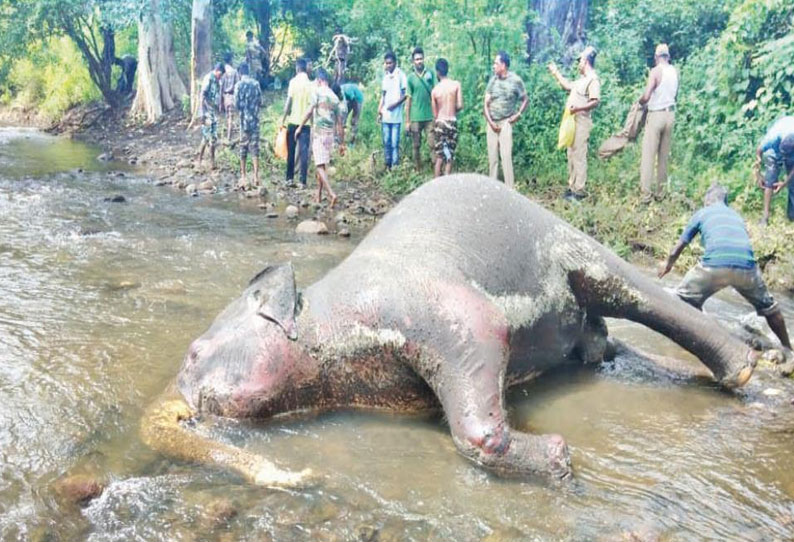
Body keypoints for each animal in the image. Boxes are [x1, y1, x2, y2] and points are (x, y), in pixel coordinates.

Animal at [142, 175, 756, 488]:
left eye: (194, 353)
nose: (304, 472)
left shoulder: (426, 305)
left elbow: (484, 338)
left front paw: (559, 457)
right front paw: (556, 455)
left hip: (563, 237)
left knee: (629, 288)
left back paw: (746, 370)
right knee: (601, 340)